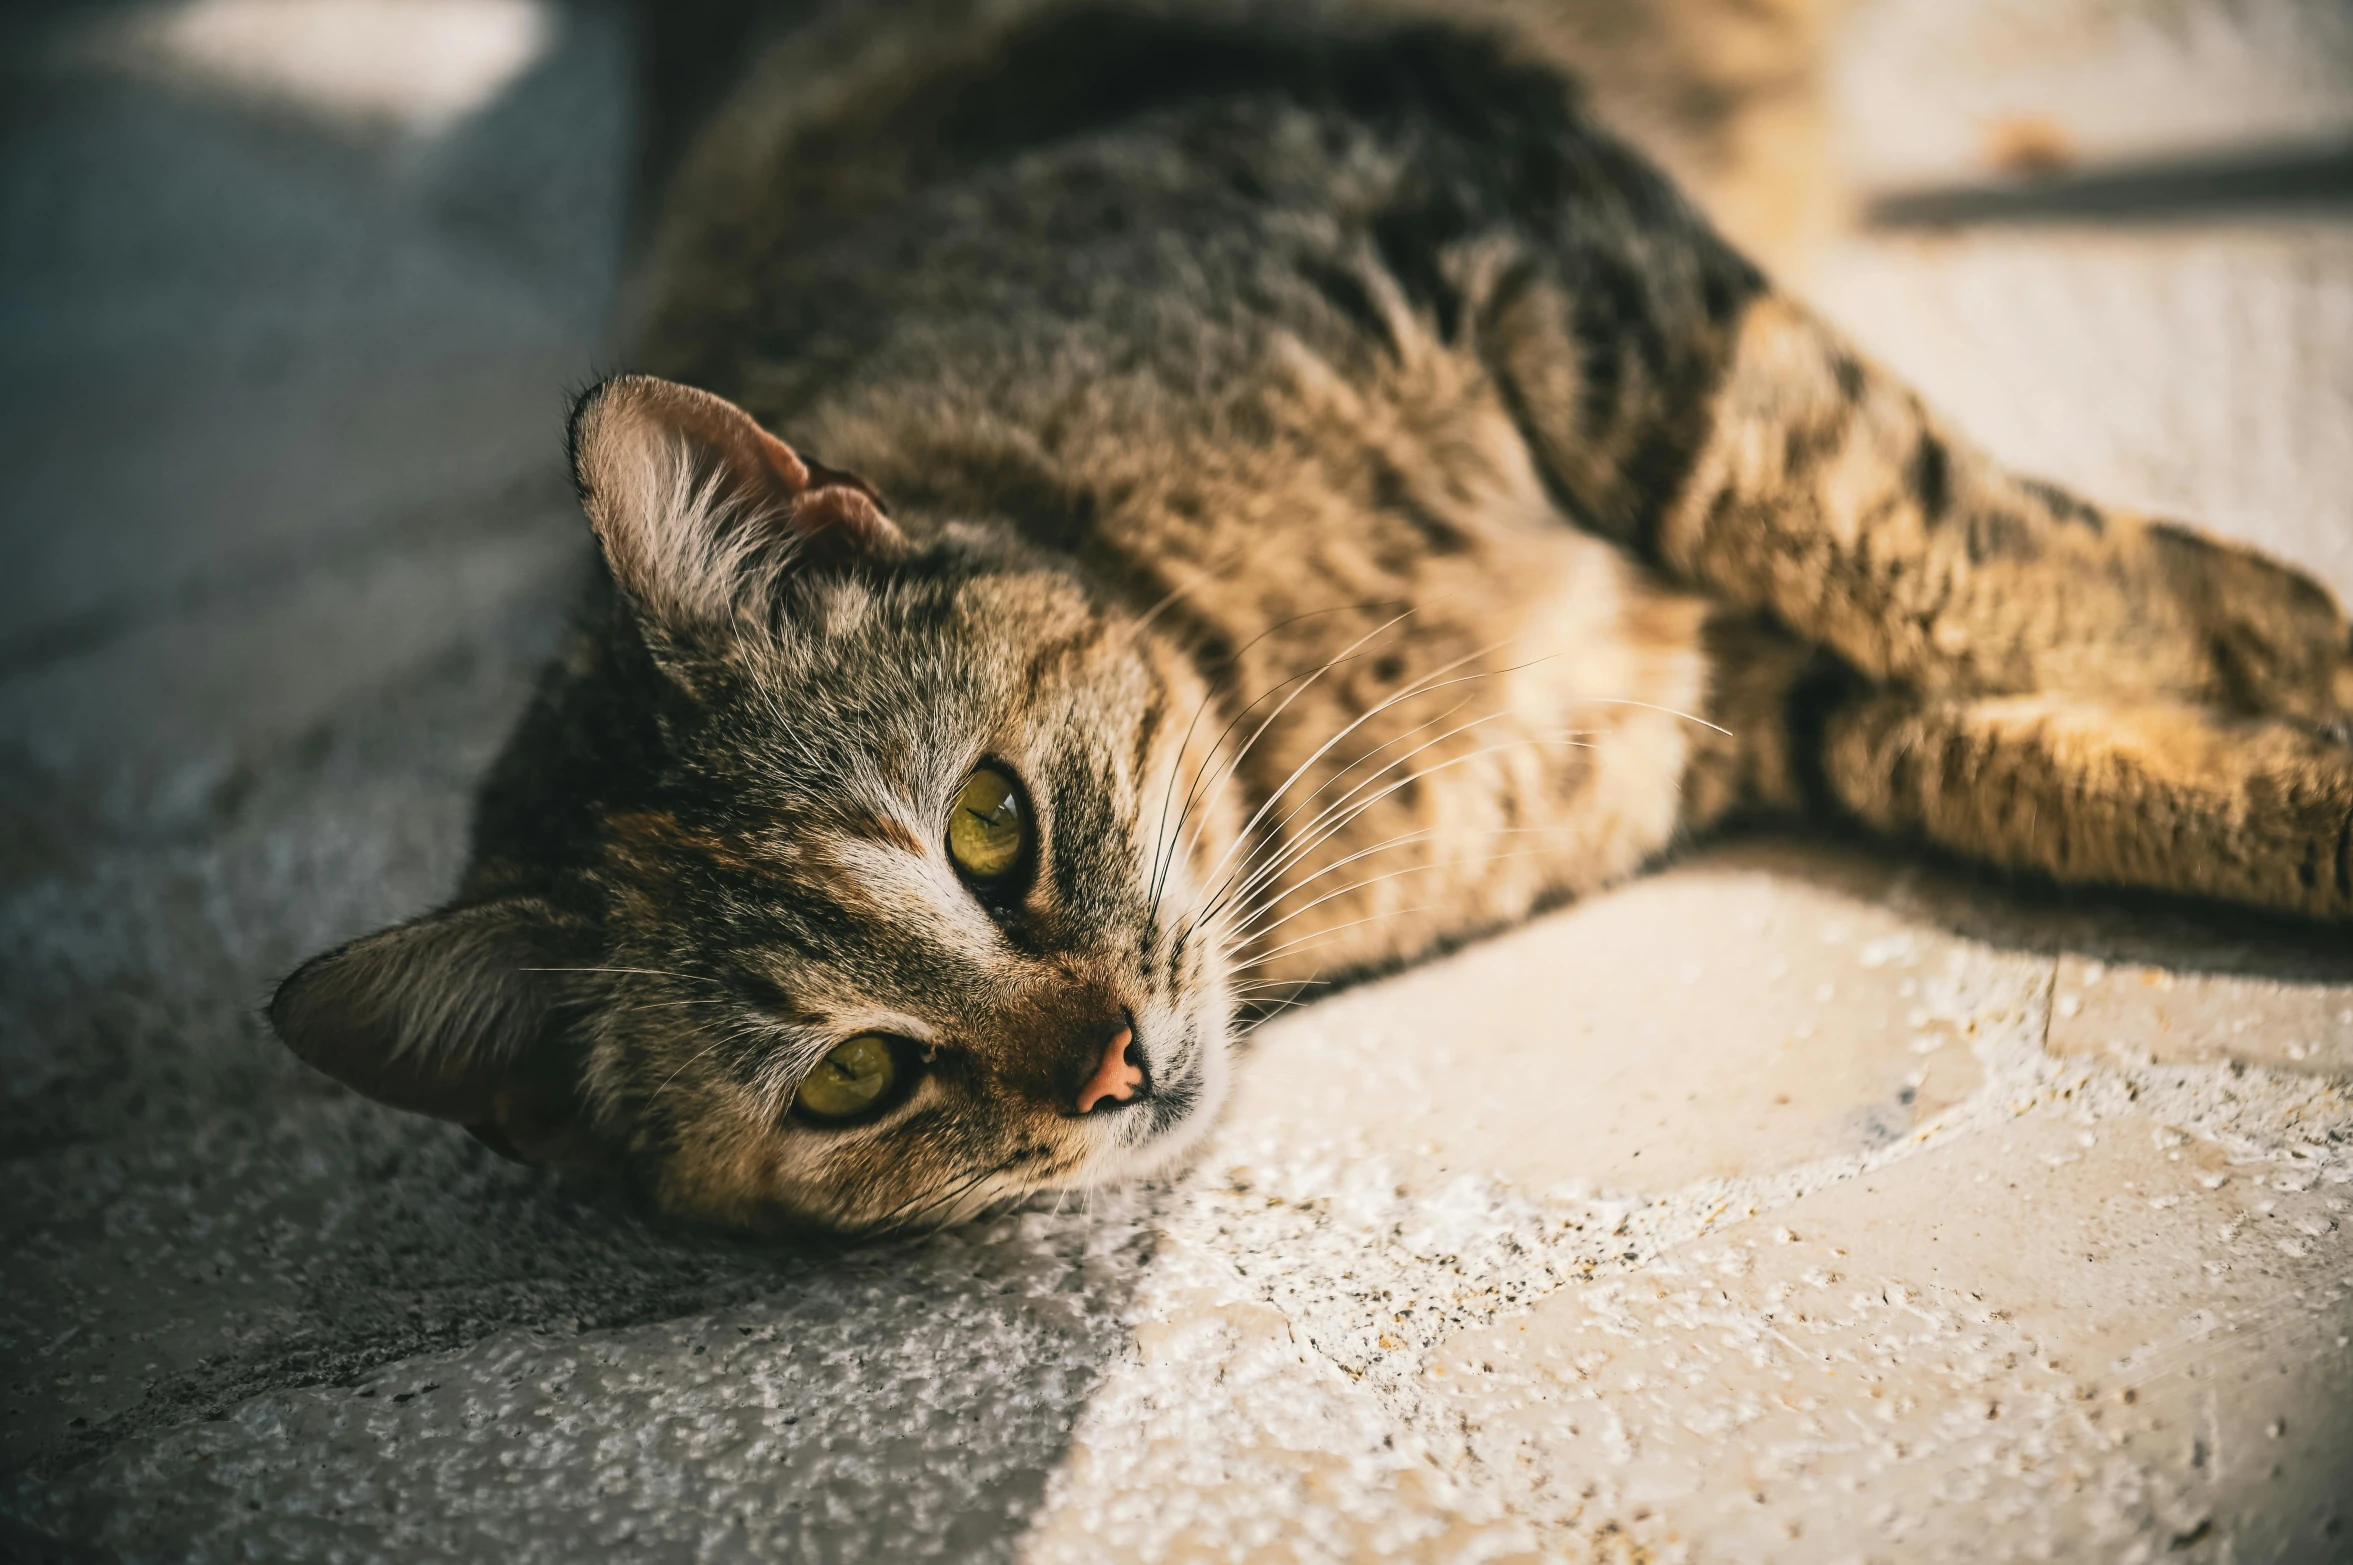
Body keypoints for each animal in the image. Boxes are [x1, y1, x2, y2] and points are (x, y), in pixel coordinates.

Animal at [267, 0, 2353, 1233]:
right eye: (858, 1077)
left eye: (986, 826)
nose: (1113, 1060)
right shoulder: (1735, 690)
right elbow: (2022, 726)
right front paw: (2295, 763)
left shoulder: (1550, 253)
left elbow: (1946, 540)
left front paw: (2291, 656)